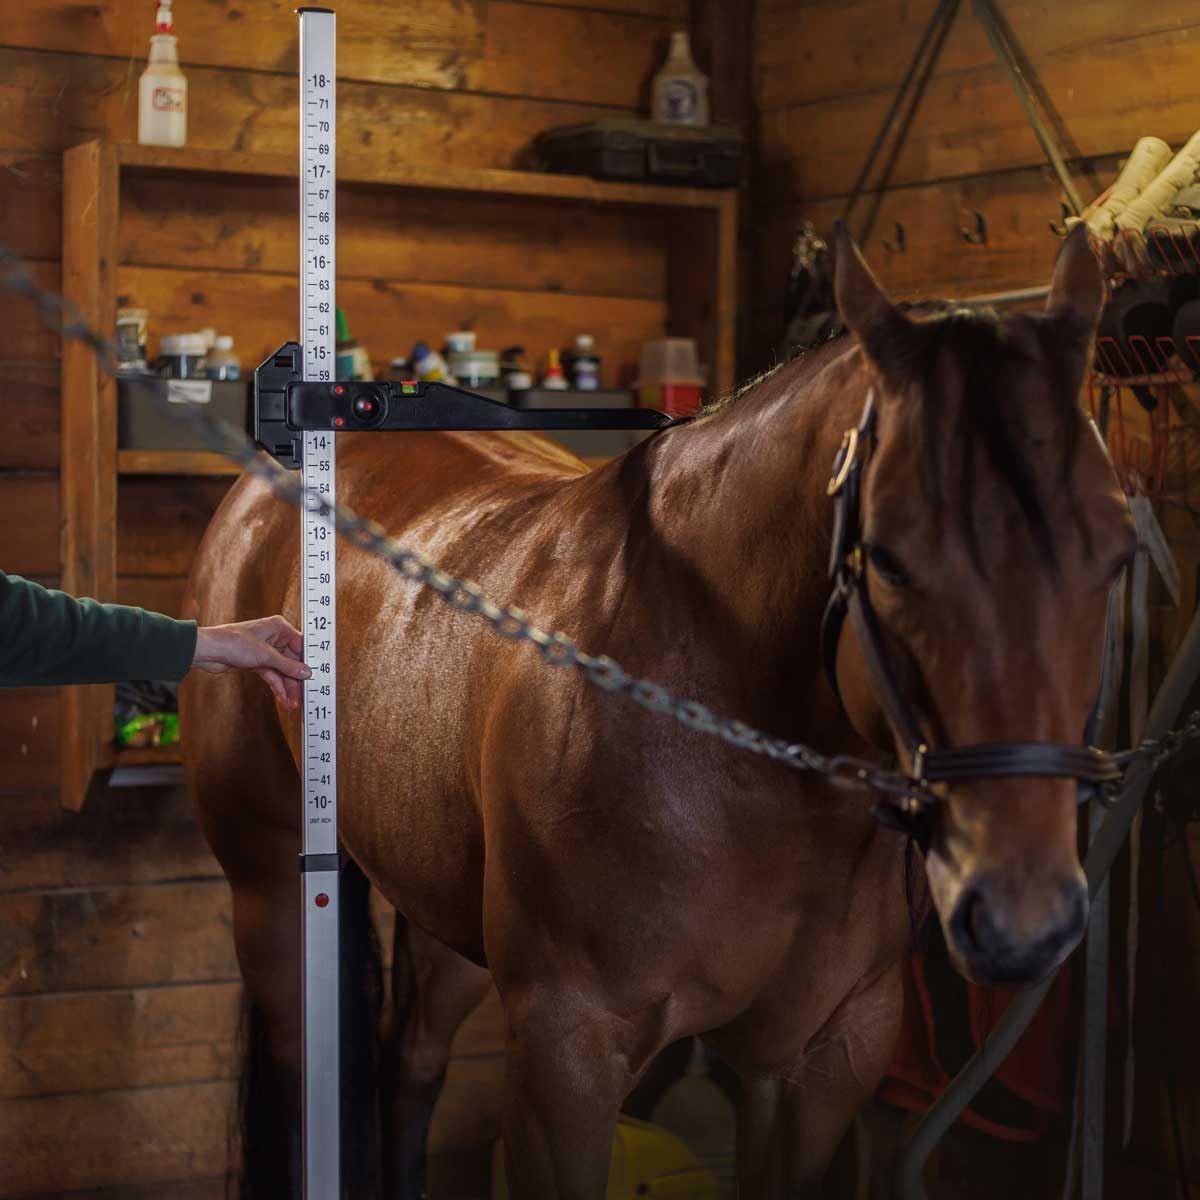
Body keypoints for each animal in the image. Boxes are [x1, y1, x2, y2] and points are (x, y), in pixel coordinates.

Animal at [180, 226, 1135, 1199]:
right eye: (892, 559)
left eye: (1118, 552)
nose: (1023, 917)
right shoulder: (567, 1057)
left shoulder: (823, 1061)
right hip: (269, 890)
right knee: (300, 1081)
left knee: (411, 1061)